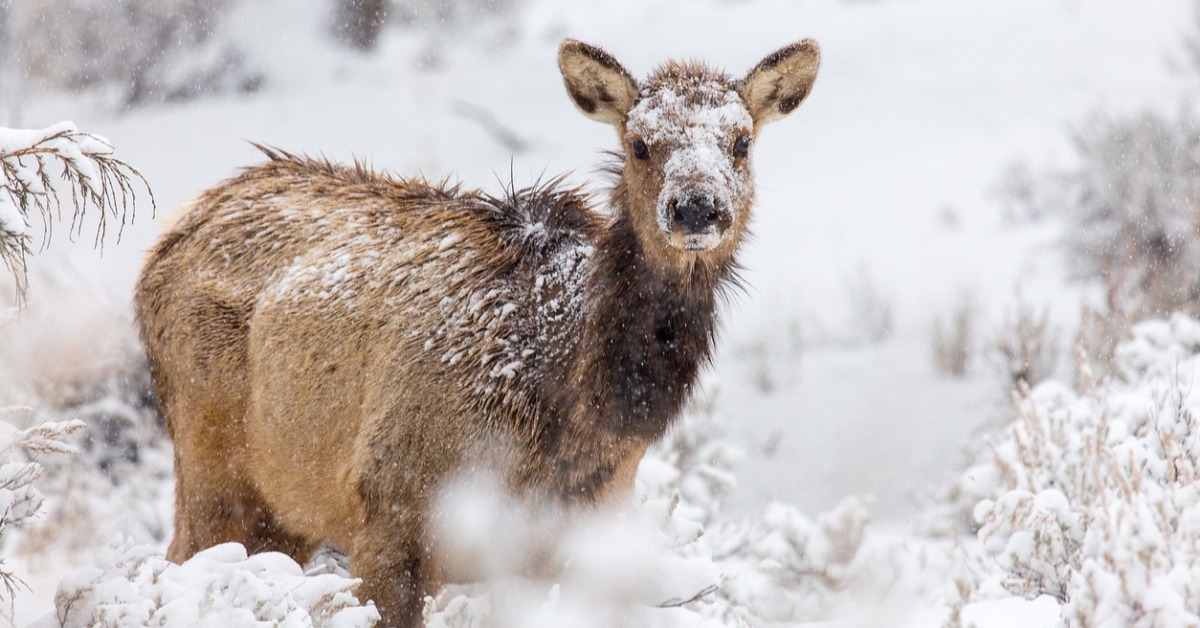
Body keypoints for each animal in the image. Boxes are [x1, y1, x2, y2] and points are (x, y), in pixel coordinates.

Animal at [136, 39, 820, 628]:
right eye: (640, 143)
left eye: (741, 141)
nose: (696, 209)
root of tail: (168, 238)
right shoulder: (387, 510)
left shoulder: (568, 542)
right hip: (210, 461)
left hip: (285, 509)